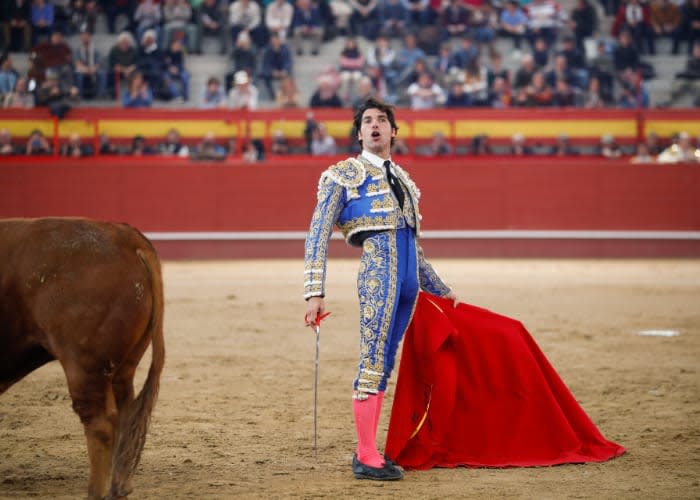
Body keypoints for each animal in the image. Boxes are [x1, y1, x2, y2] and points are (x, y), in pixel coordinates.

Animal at [0, 218, 165, 500]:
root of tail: (125, 235)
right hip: (122, 367)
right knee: (124, 411)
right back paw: (119, 487)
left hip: (84, 366)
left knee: (100, 423)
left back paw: (95, 493)